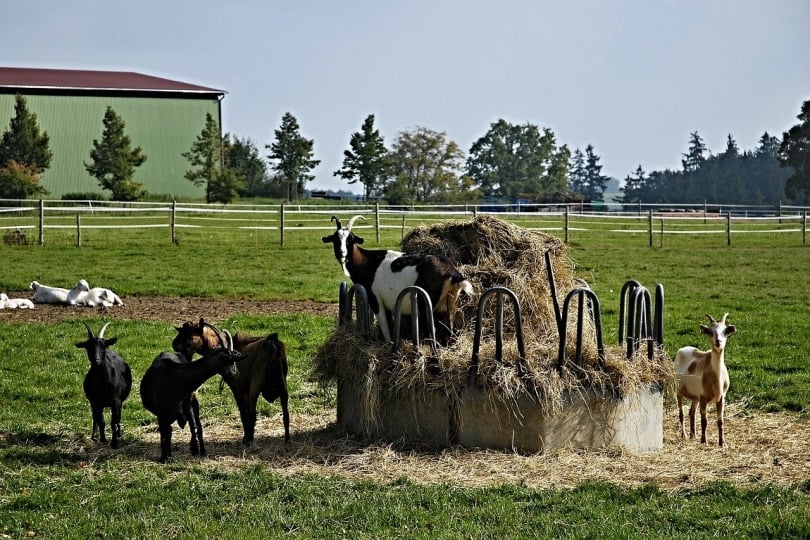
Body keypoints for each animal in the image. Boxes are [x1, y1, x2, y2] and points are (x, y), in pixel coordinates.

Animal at [140, 322, 242, 463]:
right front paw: (164, 457)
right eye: (229, 360)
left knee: (196, 425)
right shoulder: (161, 413)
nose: (235, 374)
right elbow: (165, 433)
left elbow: (193, 426)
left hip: (193, 403)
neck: (175, 377)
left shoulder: (187, 404)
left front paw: (194, 449)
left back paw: (202, 450)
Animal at [172, 318, 289, 446]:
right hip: (283, 384)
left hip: (256, 385)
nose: (174, 344)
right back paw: (287, 440)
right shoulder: (245, 389)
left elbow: (244, 412)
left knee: (253, 413)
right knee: (286, 414)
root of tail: (272, 344)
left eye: (190, 333)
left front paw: (246, 437)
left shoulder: (237, 387)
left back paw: (249, 440)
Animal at [322, 215, 474, 343]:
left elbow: (385, 327)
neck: (368, 262)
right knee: (451, 329)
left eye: (350, 239)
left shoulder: (375, 299)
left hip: (427, 304)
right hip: (451, 302)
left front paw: (389, 345)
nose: (342, 253)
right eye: (335, 239)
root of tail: (452, 272)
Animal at [675, 313, 737, 447]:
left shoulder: (721, 398)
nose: (718, 342)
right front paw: (704, 441)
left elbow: (720, 421)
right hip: (679, 391)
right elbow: (704, 421)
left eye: (725, 331)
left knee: (691, 413)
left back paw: (693, 435)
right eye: (710, 332)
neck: (716, 379)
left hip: (695, 397)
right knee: (681, 413)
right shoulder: (703, 398)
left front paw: (722, 443)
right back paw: (684, 435)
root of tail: (682, 349)